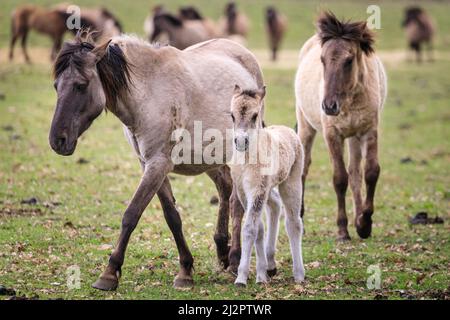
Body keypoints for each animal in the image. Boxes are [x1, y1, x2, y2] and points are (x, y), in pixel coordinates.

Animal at [49, 33, 264, 290]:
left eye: (81, 85)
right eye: (56, 86)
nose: (57, 141)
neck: (148, 93)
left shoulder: (157, 165)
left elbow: (131, 214)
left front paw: (109, 273)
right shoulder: (149, 164)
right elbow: (172, 217)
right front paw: (185, 270)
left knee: (236, 203)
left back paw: (234, 261)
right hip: (212, 160)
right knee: (225, 190)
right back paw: (223, 251)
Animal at [229, 84, 306, 284]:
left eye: (255, 115)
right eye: (232, 115)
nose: (241, 141)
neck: (248, 161)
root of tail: (288, 130)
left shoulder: (258, 190)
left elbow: (250, 228)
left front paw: (241, 277)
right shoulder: (244, 191)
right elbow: (259, 228)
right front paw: (261, 274)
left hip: (291, 182)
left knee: (293, 223)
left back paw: (299, 274)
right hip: (269, 188)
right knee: (275, 205)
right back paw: (270, 264)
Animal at [296, 12, 386, 241]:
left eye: (349, 60)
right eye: (322, 59)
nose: (329, 106)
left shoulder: (368, 131)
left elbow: (370, 172)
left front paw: (364, 224)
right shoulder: (333, 135)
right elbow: (339, 179)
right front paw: (343, 230)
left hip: (353, 136)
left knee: (355, 172)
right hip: (306, 127)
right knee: (304, 168)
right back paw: (300, 220)